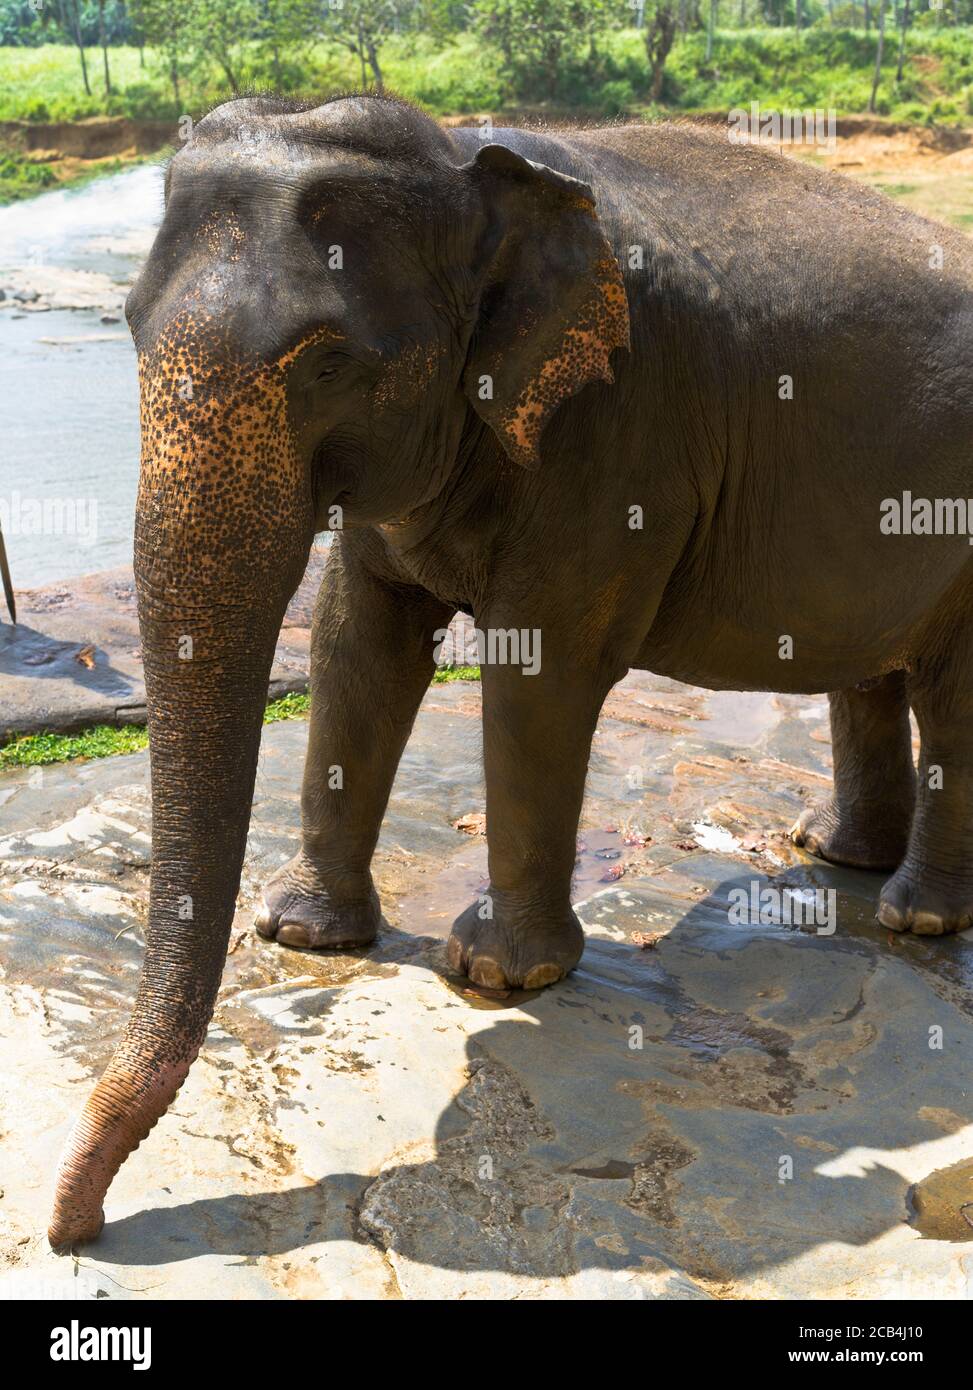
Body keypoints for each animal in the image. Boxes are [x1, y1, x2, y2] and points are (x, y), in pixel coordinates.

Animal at [47, 95, 973, 1251]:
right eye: (126, 322)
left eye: (327, 361)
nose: (75, 1227)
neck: (471, 163)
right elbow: (359, 639)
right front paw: (307, 933)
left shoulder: (616, 430)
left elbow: (542, 666)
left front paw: (497, 971)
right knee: (872, 666)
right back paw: (835, 854)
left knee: (947, 688)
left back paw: (914, 918)